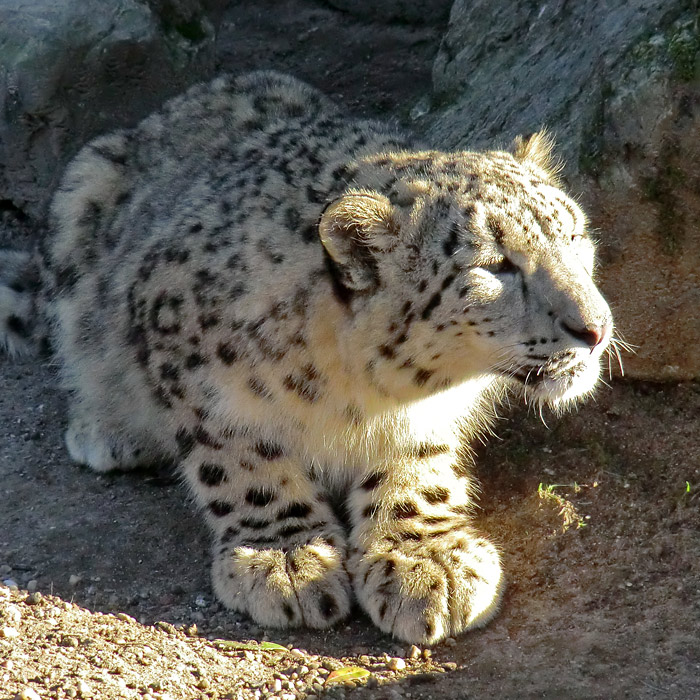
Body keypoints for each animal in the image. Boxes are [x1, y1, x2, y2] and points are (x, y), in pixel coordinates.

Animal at [0, 72, 612, 644]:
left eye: (574, 234)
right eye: (494, 266)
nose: (597, 328)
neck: (361, 396)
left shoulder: (425, 413)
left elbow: (420, 461)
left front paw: (427, 559)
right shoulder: (183, 351)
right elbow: (240, 456)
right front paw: (286, 557)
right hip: (84, 192)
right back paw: (108, 427)